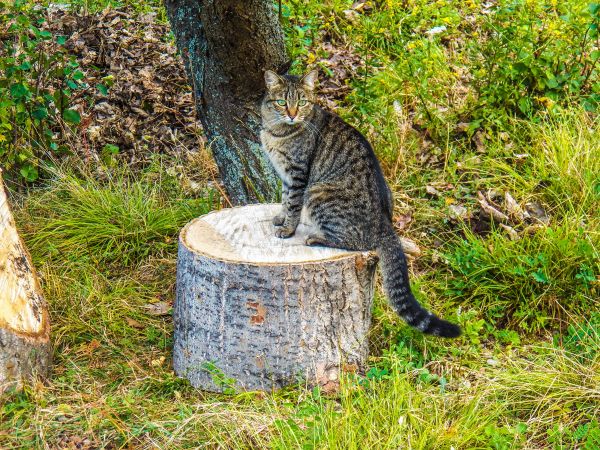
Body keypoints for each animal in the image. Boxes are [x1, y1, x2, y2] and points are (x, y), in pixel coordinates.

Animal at [260, 69, 462, 338]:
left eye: (301, 102)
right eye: (282, 102)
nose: (292, 114)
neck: (277, 131)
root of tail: (385, 223)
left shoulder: (298, 174)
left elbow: (292, 203)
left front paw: (288, 228)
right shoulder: (285, 176)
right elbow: (284, 199)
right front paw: (281, 218)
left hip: (318, 192)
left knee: (355, 242)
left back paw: (316, 237)